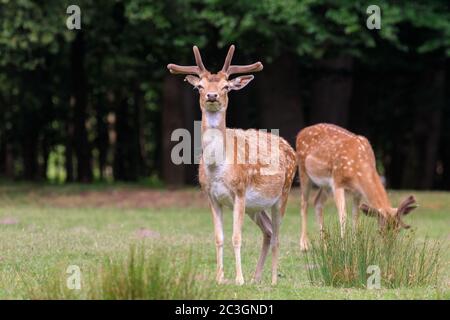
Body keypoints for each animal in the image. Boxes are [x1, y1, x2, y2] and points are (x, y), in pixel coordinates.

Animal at [167, 45, 298, 284]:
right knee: (268, 231)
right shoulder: (211, 196)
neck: (218, 168)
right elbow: (219, 237)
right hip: (255, 207)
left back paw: (273, 279)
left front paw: (239, 279)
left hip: (283, 193)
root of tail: (289, 147)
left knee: (277, 235)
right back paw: (256, 278)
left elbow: (237, 237)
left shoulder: (240, 191)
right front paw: (220, 278)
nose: (212, 95)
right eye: (199, 86)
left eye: (226, 86)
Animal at [296, 122, 418, 250]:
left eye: (398, 230)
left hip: (325, 185)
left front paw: (355, 245)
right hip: (303, 170)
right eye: (380, 231)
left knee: (317, 202)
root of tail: (300, 132)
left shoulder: (357, 191)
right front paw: (343, 247)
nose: (389, 248)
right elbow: (343, 216)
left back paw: (324, 245)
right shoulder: (337, 182)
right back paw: (304, 245)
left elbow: (355, 216)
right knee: (304, 203)